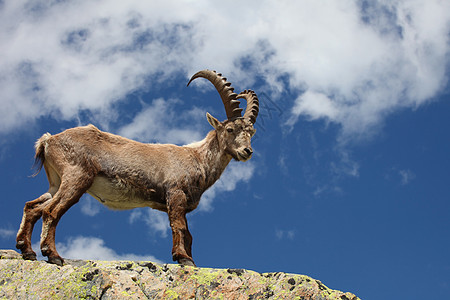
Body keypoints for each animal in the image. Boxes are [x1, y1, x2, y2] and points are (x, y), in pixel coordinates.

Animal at [16, 70, 260, 268]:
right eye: (229, 129)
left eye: (251, 132)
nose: (247, 151)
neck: (197, 158)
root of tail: (48, 140)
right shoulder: (175, 193)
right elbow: (179, 226)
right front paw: (183, 258)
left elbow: (189, 234)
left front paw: (190, 260)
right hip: (77, 177)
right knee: (51, 211)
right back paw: (53, 255)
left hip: (56, 181)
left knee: (33, 206)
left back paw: (27, 251)